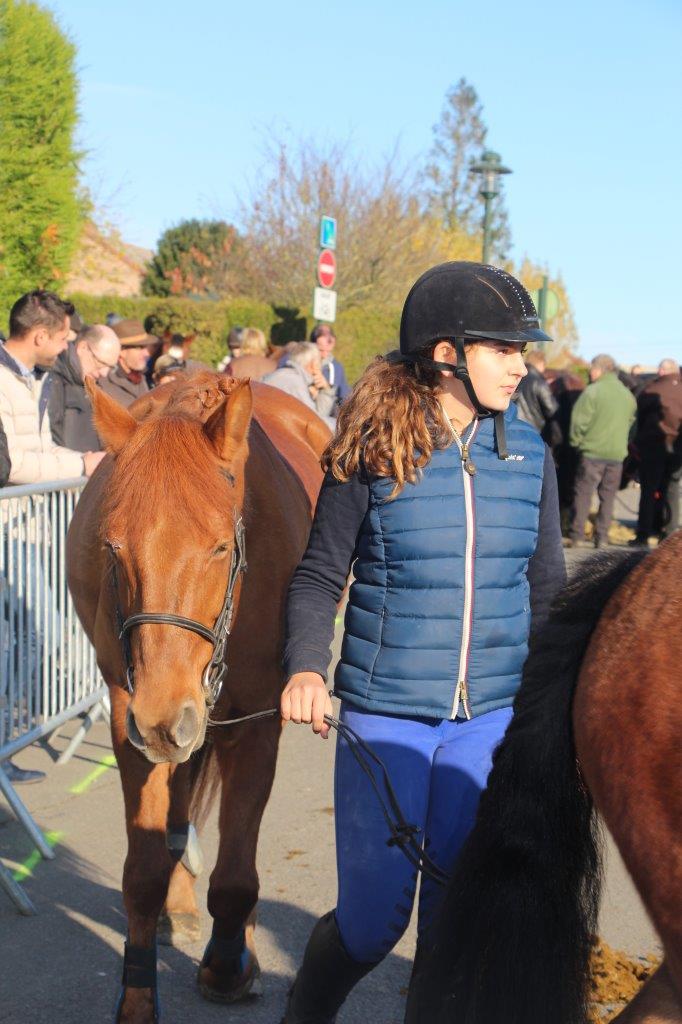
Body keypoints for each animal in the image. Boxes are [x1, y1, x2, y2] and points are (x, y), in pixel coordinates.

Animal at [65, 374, 329, 1024]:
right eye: (114, 548)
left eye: (218, 548)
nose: (165, 716)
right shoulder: (130, 716)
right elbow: (142, 870)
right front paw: (138, 993)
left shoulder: (256, 719)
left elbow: (236, 876)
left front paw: (228, 964)